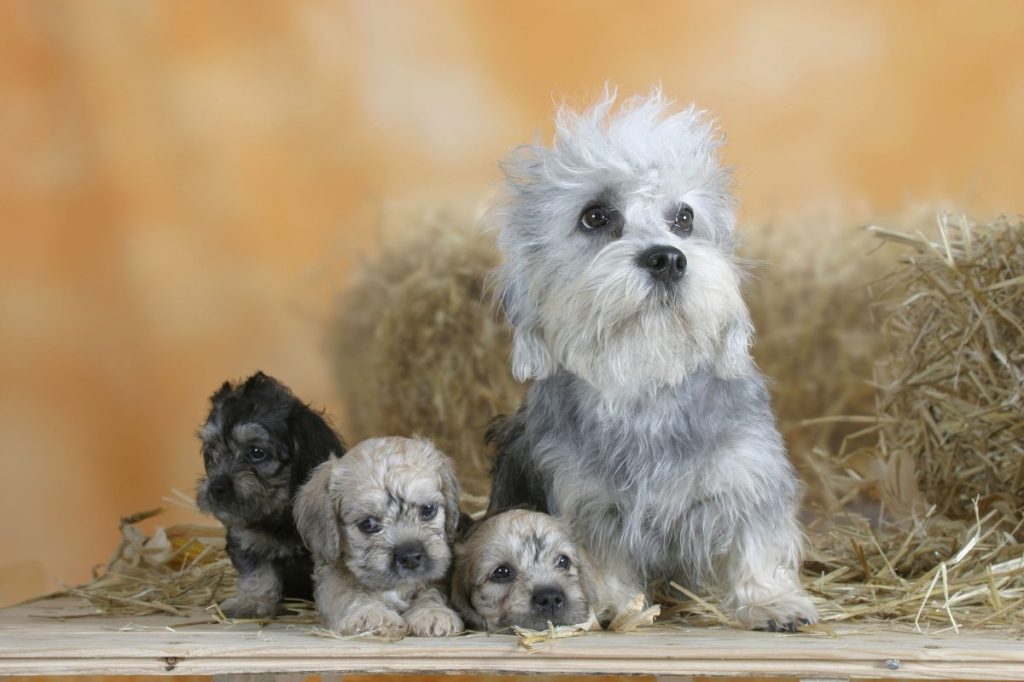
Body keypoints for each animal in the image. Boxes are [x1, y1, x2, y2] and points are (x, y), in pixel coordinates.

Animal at [193, 372, 346, 614]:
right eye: (211, 452)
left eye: (256, 452)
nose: (216, 488)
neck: (281, 518)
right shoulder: (245, 539)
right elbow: (257, 574)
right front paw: (252, 602)